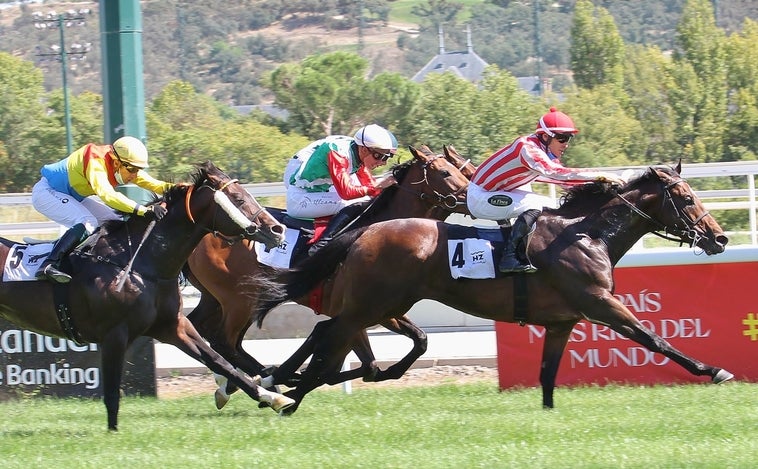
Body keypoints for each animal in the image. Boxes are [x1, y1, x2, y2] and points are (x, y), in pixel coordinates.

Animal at [0, 162, 294, 432]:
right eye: (238, 199)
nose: (277, 230)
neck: (141, 264)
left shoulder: (173, 326)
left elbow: (220, 361)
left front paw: (272, 397)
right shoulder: (114, 335)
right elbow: (111, 393)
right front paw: (113, 434)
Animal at [183, 145, 476, 406]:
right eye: (445, 172)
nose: (472, 197)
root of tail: (204, 230)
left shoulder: (380, 310)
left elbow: (409, 346)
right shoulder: (356, 309)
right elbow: (366, 363)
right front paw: (297, 376)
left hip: (219, 298)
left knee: (203, 329)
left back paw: (241, 383)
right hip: (240, 300)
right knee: (224, 341)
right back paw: (264, 380)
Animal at [256, 162, 736, 414]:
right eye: (687, 199)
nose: (720, 238)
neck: (586, 235)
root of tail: (365, 232)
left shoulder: (562, 321)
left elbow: (547, 373)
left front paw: (548, 412)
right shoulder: (601, 303)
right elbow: (653, 338)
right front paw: (714, 370)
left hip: (379, 305)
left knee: (331, 337)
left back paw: (281, 388)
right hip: (371, 305)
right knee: (329, 338)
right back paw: (284, 393)